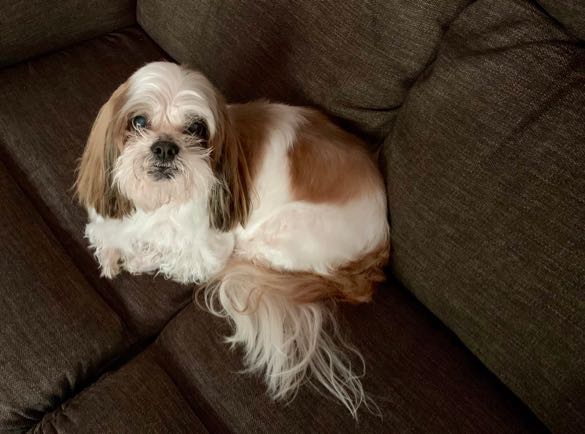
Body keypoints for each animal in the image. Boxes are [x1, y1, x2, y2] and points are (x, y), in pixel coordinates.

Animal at [75, 60, 390, 414]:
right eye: (139, 121)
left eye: (196, 129)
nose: (165, 146)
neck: (161, 200)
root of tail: (380, 244)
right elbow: (107, 227)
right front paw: (109, 249)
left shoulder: (207, 251)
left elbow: (166, 253)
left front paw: (133, 257)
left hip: (279, 236)